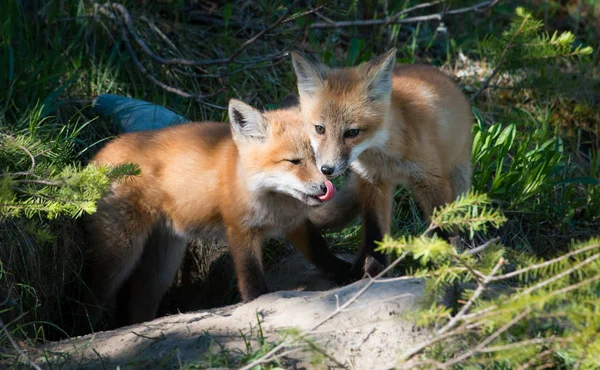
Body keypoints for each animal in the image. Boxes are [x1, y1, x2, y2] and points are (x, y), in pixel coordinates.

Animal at [74, 99, 352, 334]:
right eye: (294, 161)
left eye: (320, 158)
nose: (325, 186)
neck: (273, 201)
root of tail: (98, 155)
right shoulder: (239, 228)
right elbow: (250, 276)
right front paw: (255, 303)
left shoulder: (295, 222)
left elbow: (319, 250)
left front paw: (346, 273)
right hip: (121, 255)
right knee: (93, 297)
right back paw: (85, 330)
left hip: (163, 265)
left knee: (139, 306)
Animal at [294, 47, 474, 276]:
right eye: (319, 129)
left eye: (352, 132)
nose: (327, 169)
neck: (388, 158)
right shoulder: (373, 183)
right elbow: (376, 235)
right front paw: (373, 273)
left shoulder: (432, 180)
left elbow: (443, 225)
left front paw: (449, 264)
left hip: (459, 180)